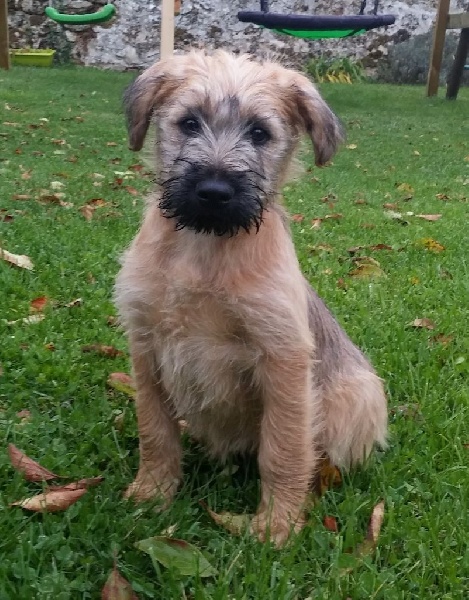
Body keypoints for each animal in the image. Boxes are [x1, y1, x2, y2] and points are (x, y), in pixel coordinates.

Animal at [115, 50, 387, 546]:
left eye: (259, 132)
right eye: (189, 123)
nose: (214, 191)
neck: (204, 251)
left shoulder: (282, 358)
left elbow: (283, 449)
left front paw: (277, 527)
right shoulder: (145, 347)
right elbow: (155, 429)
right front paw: (151, 493)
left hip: (356, 397)